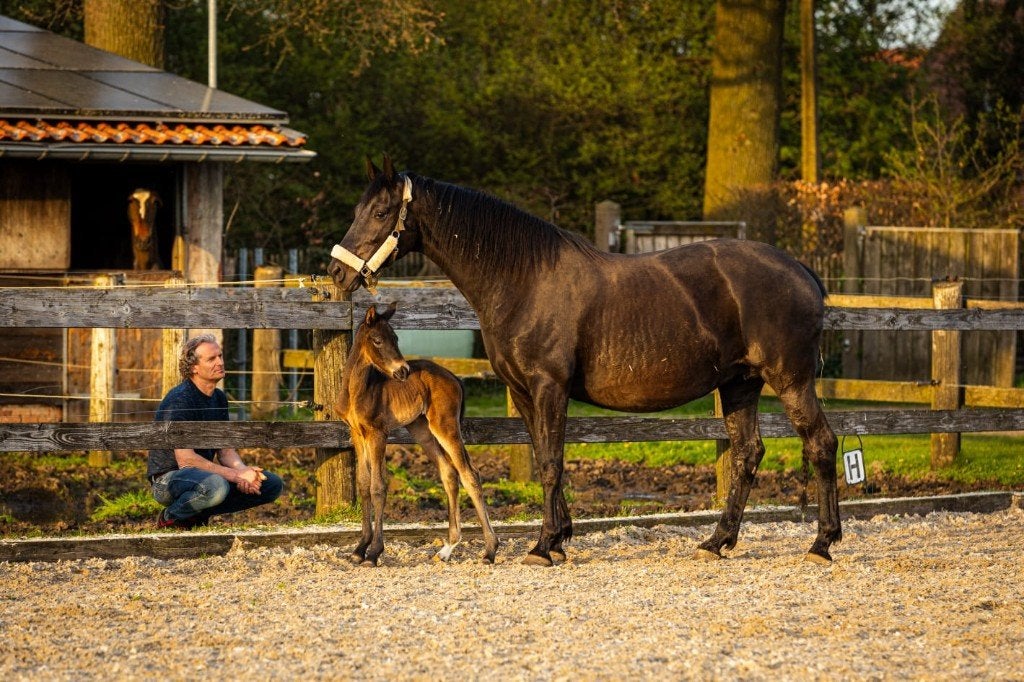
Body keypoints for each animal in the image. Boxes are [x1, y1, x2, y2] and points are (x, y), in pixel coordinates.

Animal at [337, 301, 499, 566]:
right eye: (377, 340)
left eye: (396, 337)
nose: (403, 371)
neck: (358, 389)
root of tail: (455, 377)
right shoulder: (357, 434)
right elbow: (363, 483)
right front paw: (360, 549)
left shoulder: (378, 433)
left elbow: (378, 486)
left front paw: (374, 552)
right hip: (423, 431)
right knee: (448, 472)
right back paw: (447, 549)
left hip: (445, 426)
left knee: (469, 473)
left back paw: (490, 550)